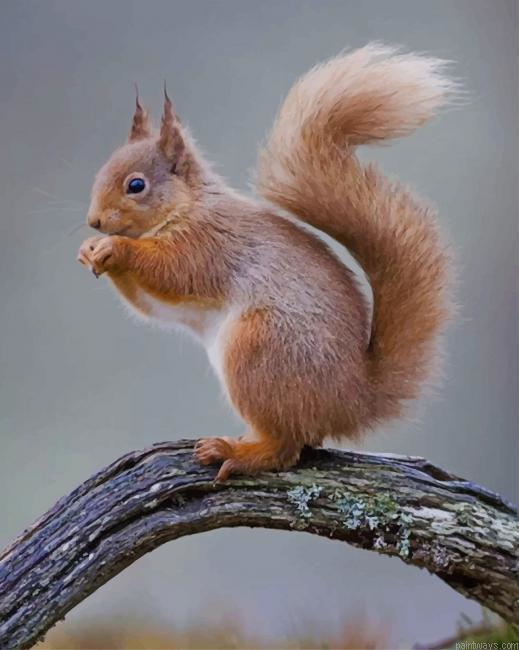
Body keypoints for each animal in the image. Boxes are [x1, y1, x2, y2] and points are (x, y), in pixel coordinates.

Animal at [78, 44, 454, 481]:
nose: (94, 221)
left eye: (136, 185)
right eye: (101, 171)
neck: (189, 206)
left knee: (286, 447)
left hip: (259, 347)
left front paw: (116, 248)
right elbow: (150, 304)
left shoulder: (208, 245)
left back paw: (238, 452)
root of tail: (353, 399)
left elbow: (172, 272)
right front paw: (90, 249)